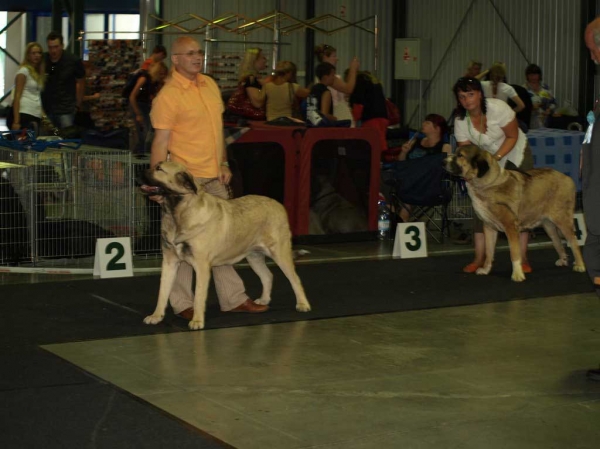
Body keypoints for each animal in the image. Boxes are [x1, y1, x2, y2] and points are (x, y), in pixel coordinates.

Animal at [139, 161, 312, 328]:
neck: (179, 211)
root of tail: (278, 205)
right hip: (254, 256)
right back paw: (263, 300)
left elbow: (199, 295)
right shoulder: (169, 262)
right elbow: (163, 292)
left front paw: (197, 321)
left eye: (159, 168)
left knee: (295, 279)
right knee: (267, 275)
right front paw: (156, 316)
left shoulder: (201, 266)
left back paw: (303, 304)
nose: (141, 171)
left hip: (280, 252)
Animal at [446, 146, 584, 280]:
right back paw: (563, 260)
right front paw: (486, 270)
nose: (443, 161)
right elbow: (489, 251)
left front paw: (517, 274)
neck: (487, 183)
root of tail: (567, 177)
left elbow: (514, 253)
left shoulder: (510, 227)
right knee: (557, 241)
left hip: (562, 220)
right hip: (548, 225)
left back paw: (580, 265)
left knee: (573, 242)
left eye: (460, 155)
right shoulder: (489, 227)